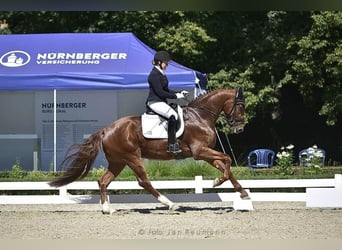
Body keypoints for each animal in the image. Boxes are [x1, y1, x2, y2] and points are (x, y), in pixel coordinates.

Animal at [48, 89, 248, 214]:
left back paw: (107, 209)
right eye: (240, 106)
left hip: (118, 161)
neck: (201, 116)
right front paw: (217, 182)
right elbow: (227, 160)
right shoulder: (200, 152)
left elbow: (226, 166)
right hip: (132, 157)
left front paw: (242, 192)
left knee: (103, 181)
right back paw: (169, 204)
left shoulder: (205, 153)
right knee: (143, 181)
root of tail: (106, 129)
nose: (239, 129)